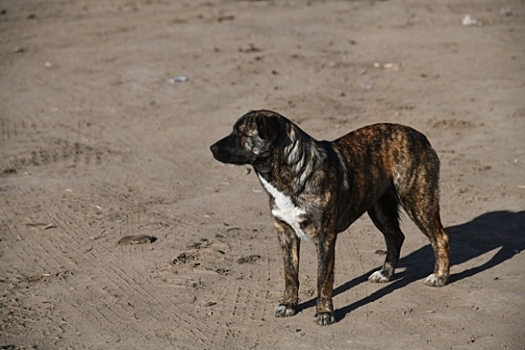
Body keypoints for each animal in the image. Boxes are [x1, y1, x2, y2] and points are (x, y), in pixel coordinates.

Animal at [211, 109, 448, 326]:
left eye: (241, 133)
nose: (211, 148)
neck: (292, 173)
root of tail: (419, 136)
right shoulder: (285, 233)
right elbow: (290, 275)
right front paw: (288, 305)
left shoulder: (325, 237)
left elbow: (322, 279)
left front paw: (324, 312)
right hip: (379, 208)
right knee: (395, 237)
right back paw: (385, 273)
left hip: (417, 201)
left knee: (440, 238)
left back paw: (440, 277)